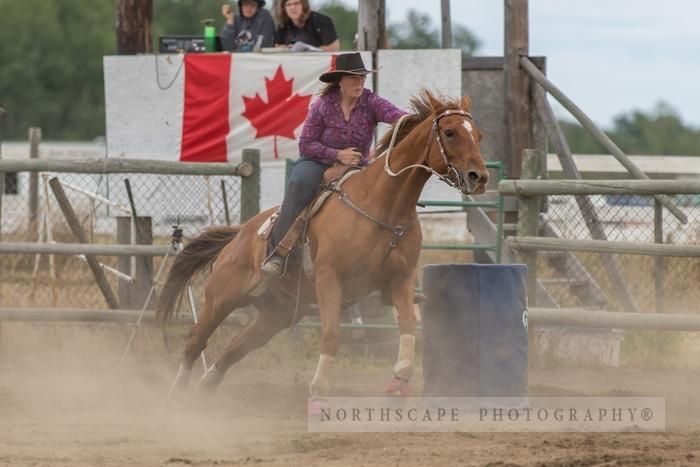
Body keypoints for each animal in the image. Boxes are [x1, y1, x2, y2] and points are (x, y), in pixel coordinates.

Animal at [157, 91, 486, 398]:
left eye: (478, 135)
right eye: (450, 132)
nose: (478, 177)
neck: (382, 205)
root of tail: (240, 234)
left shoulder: (401, 279)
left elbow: (407, 326)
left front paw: (399, 382)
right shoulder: (330, 279)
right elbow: (331, 336)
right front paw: (319, 389)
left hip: (278, 312)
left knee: (235, 348)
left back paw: (205, 388)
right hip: (223, 297)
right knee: (195, 340)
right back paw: (177, 394)